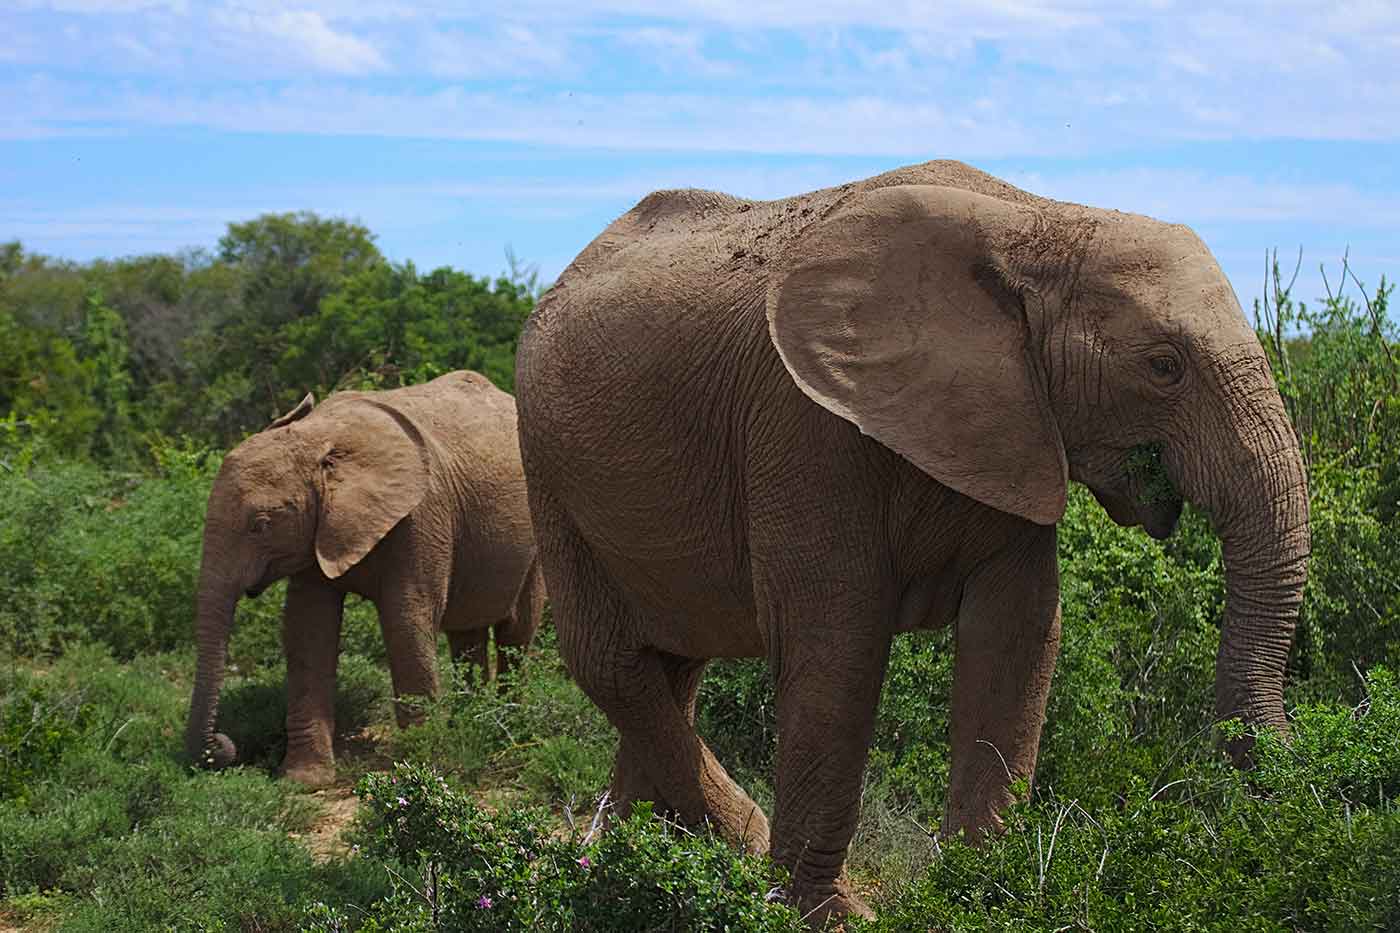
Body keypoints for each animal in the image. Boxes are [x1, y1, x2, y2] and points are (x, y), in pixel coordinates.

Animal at [190, 369, 546, 784]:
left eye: (260, 525)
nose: (223, 745)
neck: (320, 440)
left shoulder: (420, 516)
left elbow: (405, 619)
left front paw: (420, 762)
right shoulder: (318, 531)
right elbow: (308, 629)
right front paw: (305, 779)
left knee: (516, 632)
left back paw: (506, 731)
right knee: (466, 634)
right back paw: (470, 727)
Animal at [518, 158, 1310, 913]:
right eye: (1163, 367)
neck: (1039, 222)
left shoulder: (1015, 422)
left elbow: (1018, 630)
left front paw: (981, 892)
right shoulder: (805, 423)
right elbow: (836, 641)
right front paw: (826, 913)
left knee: (675, 664)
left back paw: (629, 858)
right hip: (547, 466)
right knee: (612, 661)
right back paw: (719, 848)